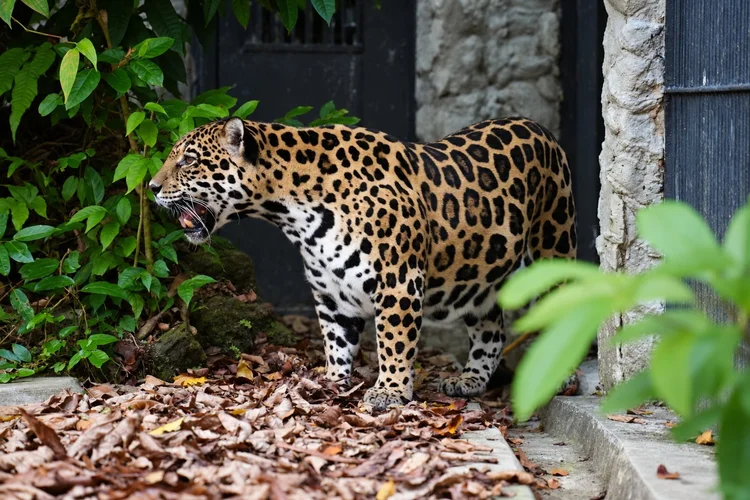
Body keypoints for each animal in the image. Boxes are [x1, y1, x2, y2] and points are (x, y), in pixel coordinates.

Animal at [149, 116, 576, 410]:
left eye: (188, 160)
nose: (152, 187)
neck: (291, 210)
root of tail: (538, 126)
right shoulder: (330, 292)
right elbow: (336, 341)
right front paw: (331, 381)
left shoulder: (399, 283)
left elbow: (393, 341)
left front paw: (389, 392)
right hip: (479, 278)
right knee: (491, 330)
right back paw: (469, 379)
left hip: (553, 246)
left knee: (565, 305)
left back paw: (563, 377)